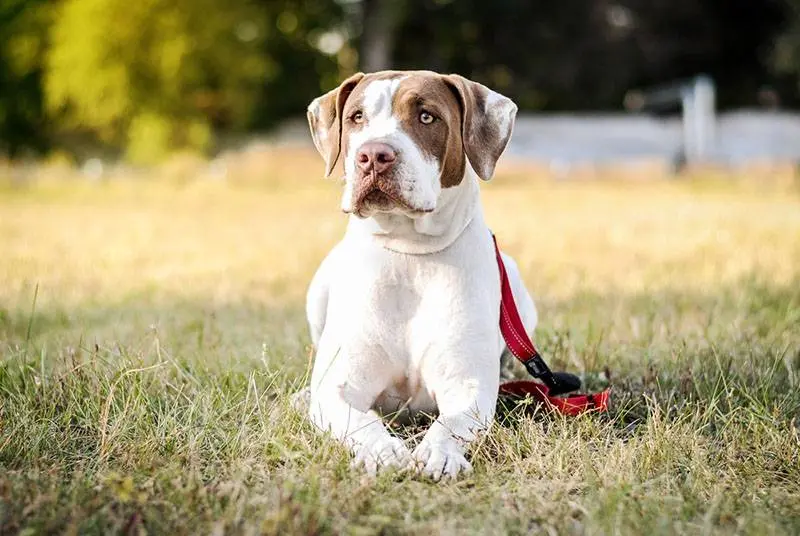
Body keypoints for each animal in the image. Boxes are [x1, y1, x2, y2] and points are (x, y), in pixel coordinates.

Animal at [300, 69, 536, 480]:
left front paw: (439, 454)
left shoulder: (467, 386)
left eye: (427, 117)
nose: (373, 156)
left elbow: (451, 423)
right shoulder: (340, 387)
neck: (410, 251)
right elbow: (361, 421)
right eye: (357, 117)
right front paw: (382, 451)